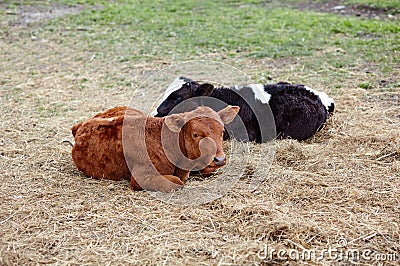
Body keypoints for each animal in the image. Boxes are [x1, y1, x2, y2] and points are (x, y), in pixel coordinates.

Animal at [70, 105, 239, 191]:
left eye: (222, 131)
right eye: (195, 134)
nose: (219, 159)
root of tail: (81, 125)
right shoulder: (141, 177)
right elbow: (177, 182)